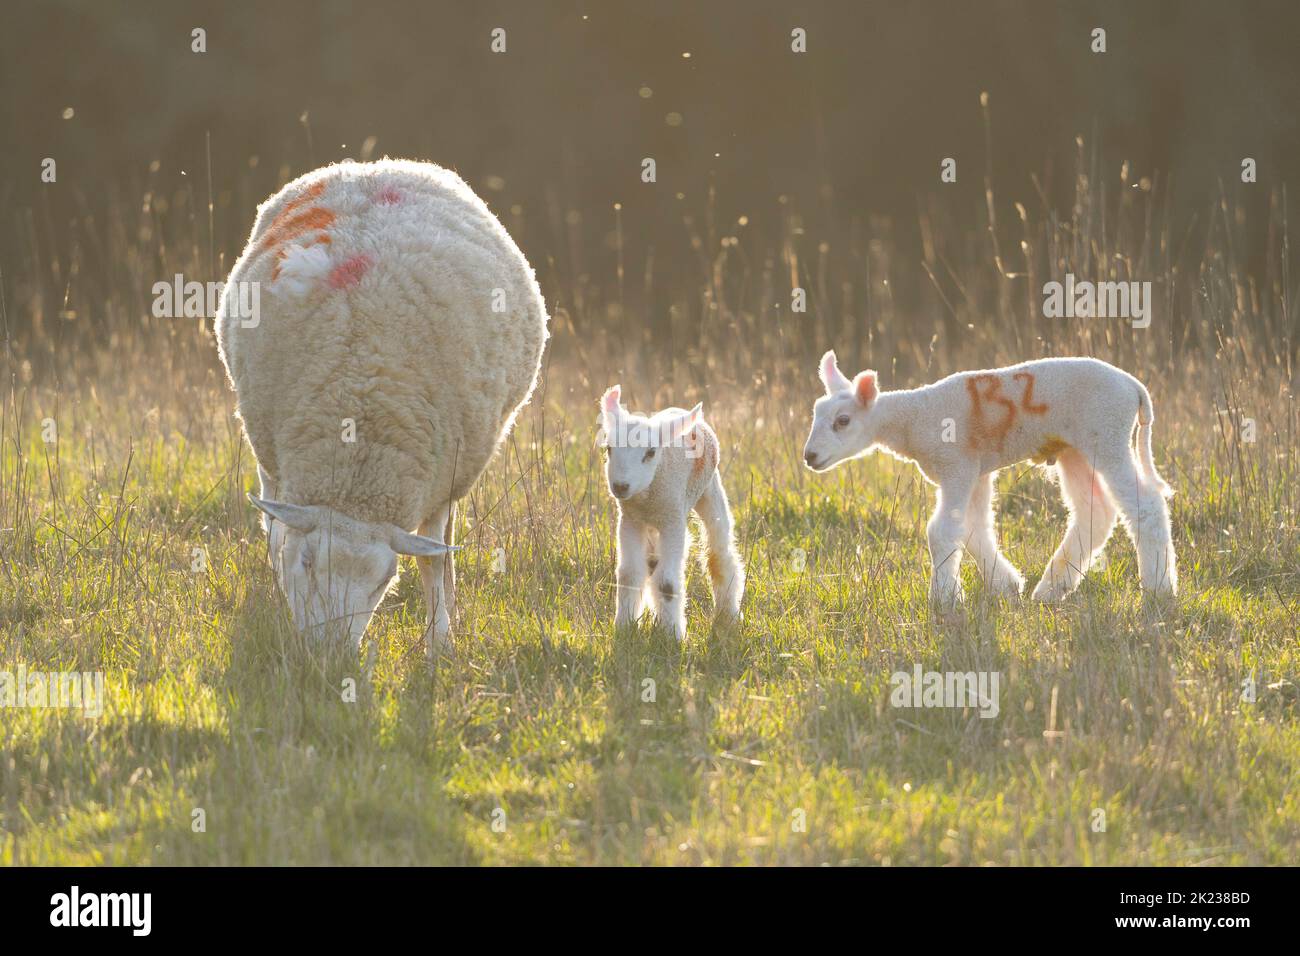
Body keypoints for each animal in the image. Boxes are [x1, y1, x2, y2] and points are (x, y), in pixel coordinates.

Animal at [215, 159, 548, 654]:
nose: (329, 656)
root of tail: (372, 165)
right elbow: (277, 540)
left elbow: (432, 561)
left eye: (382, 583)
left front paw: (440, 642)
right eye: (307, 563)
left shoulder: (441, 478)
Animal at [598, 385, 745, 639]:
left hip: (709, 489)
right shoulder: (630, 520)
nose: (620, 486)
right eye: (609, 449)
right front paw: (625, 628)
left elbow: (666, 583)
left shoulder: (672, 520)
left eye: (650, 453)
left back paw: (728, 614)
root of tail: (679, 410)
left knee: (719, 553)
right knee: (652, 563)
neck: (647, 497)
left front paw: (672, 636)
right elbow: (629, 574)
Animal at [802, 351, 1177, 608]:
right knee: (1095, 511)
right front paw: (1006, 585)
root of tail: (1134, 387)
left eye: (843, 421)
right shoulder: (975, 471)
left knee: (1145, 507)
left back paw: (1159, 589)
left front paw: (944, 600)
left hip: (1108, 435)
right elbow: (972, 528)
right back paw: (1051, 588)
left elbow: (941, 531)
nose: (810, 457)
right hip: (1076, 450)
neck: (914, 419)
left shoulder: (956, 465)